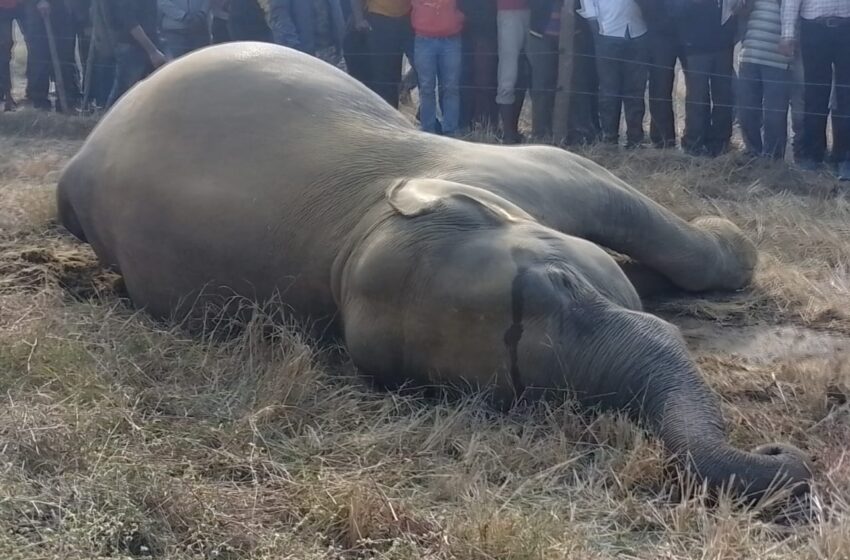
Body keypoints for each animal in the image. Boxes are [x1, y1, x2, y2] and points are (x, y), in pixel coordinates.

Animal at [56, 41, 812, 500]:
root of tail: (80, 160)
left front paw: (724, 241)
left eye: (563, 284)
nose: (780, 450)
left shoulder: (502, 170)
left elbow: (610, 195)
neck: (355, 238)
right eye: (520, 391)